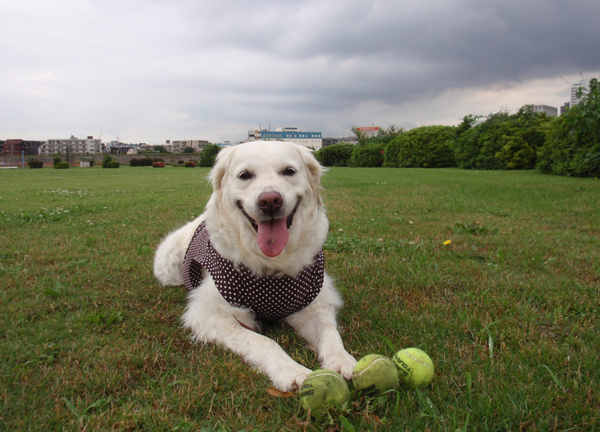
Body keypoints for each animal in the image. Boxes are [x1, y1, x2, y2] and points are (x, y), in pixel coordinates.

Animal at [154, 140, 356, 390]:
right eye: (245, 175)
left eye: (289, 171)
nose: (270, 201)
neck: (271, 261)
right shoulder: (212, 316)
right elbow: (264, 342)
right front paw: (292, 371)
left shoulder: (314, 303)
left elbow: (329, 332)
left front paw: (342, 360)